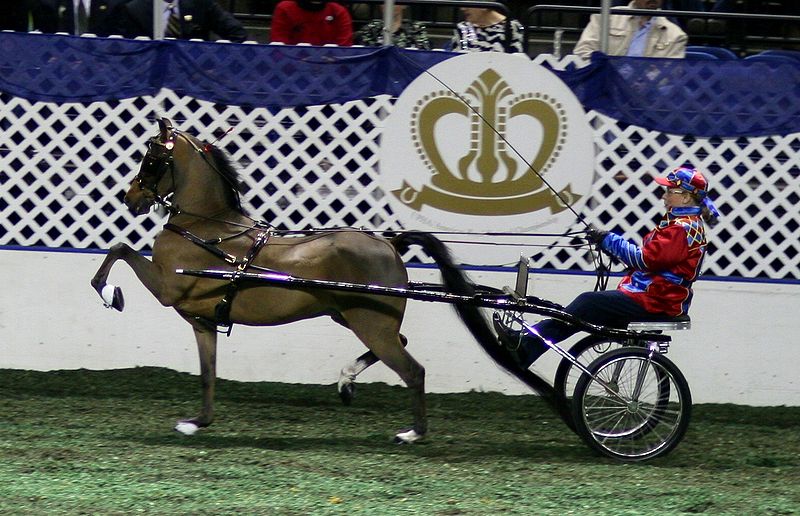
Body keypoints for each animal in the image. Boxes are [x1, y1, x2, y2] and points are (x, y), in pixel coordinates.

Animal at [90, 118, 504, 443]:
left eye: (151, 160)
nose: (130, 198)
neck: (207, 228)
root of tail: (388, 242)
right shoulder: (202, 321)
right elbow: (208, 375)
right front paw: (198, 423)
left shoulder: (165, 285)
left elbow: (119, 248)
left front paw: (111, 293)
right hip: (356, 318)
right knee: (400, 343)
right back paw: (346, 381)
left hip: (370, 324)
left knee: (412, 370)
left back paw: (413, 432)